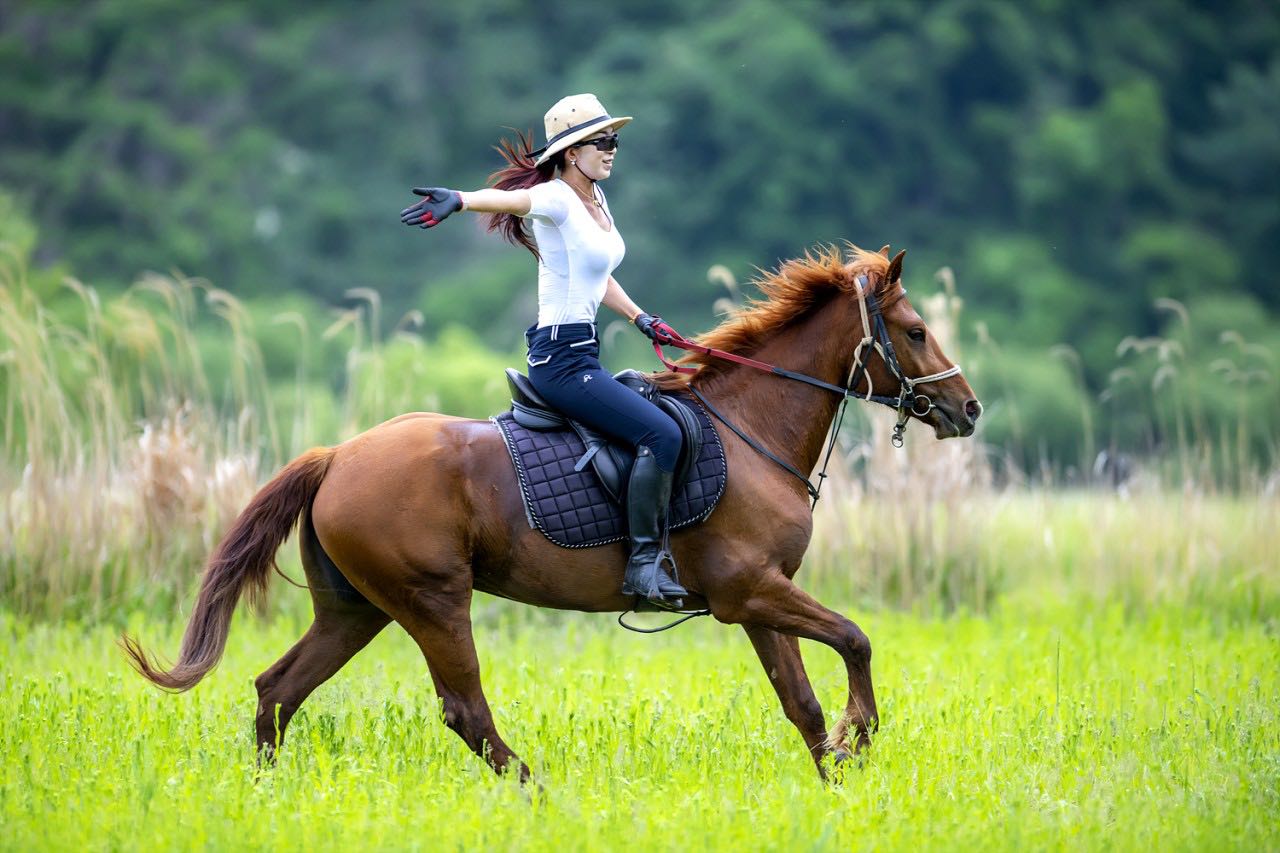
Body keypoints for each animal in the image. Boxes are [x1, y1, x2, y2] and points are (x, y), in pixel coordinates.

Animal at [122, 244, 977, 778]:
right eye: (916, 330)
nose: (968, 409)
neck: (750, 424)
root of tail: (336, 455)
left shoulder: (762, 597)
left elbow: (801, 699)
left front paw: (837, 779)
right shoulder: (751, 591)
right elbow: (856, 639)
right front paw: (860, 738)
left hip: (356, 610)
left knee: (278, 688)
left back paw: (268, 790)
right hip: (432, 601)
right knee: (464, 710)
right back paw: (536, 789)